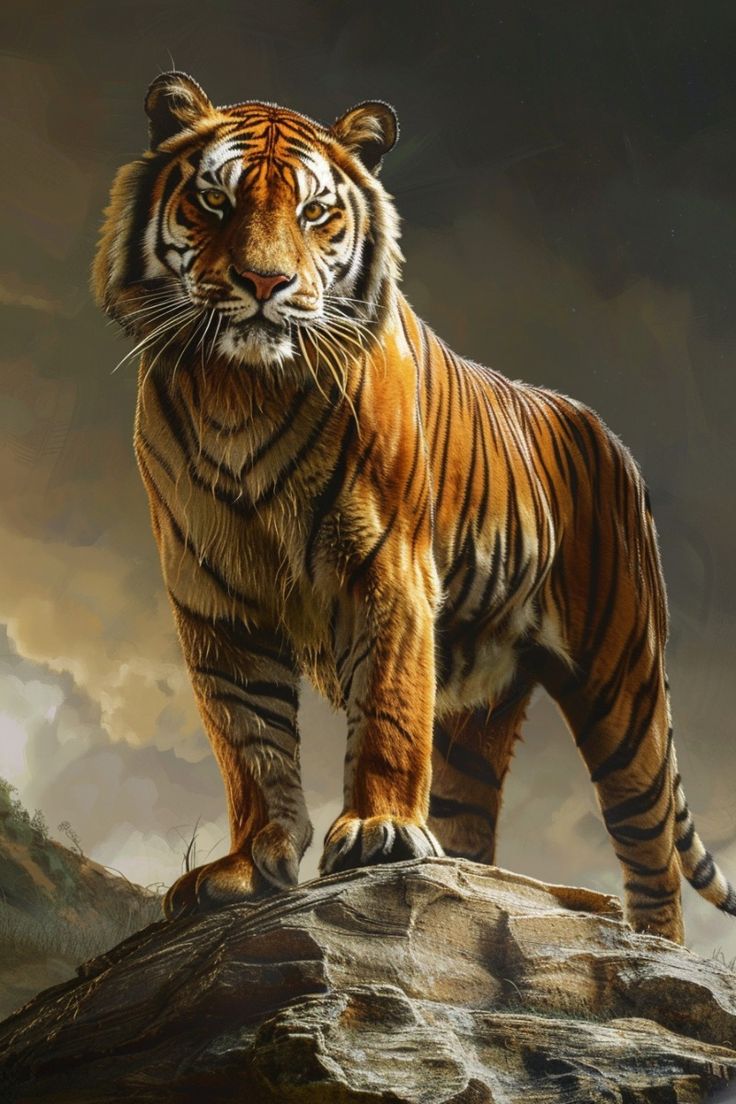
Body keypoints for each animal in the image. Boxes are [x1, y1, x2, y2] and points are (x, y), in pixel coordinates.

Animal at [93, 70, 736, 944]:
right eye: (215, 201)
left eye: (314, 213)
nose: (265, 284)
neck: (241, 389)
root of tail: (606, 434)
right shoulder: (216, 598)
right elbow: (250, 741)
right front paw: (250, 864)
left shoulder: (385, 568)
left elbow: (388, 712)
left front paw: (379, 834)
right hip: (477, 712)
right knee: (472, 822)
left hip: (623, 683)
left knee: (651, 851)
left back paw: (653, 950)